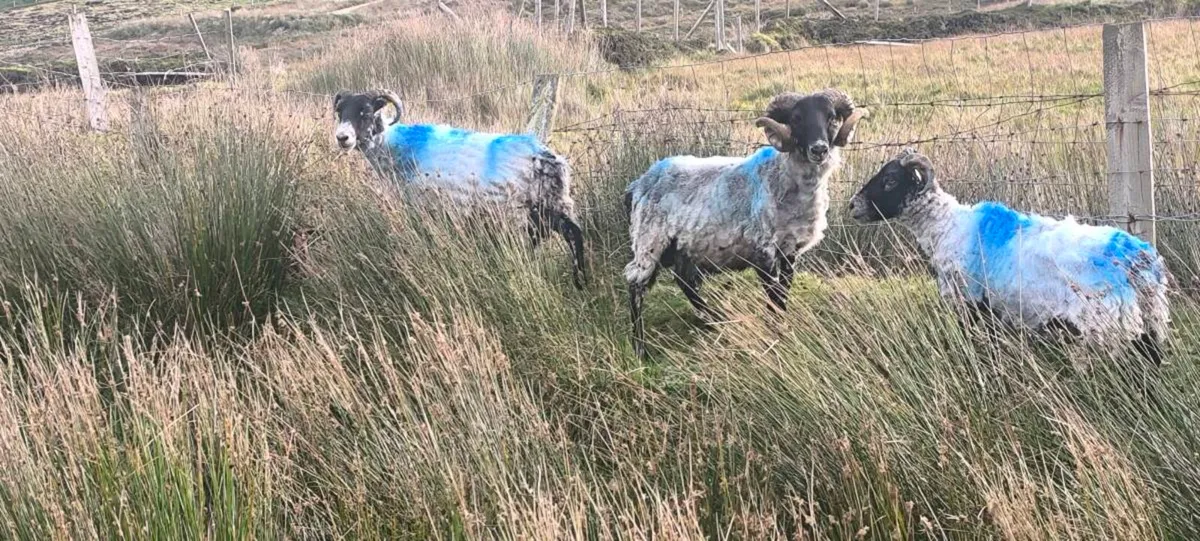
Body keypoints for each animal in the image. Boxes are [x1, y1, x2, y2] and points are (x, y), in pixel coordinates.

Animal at [332, 90, 586, 289]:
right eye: (340, 112)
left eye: (365, 111)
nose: (342, 138)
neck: (398, 148)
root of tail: (545, 158)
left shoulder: (426, 210)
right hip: (552, 204)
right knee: (574, 234)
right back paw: (580, 281)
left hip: (518, 214)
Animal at [624, 89, 869, 358]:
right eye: (796, 119)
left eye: (831, 117)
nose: (819, 149)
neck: (782, 178)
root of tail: (639, 183)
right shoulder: (764, 251)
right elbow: (774, 295)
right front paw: (776, 334)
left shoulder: (789, 251)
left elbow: (783, 292)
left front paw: (780, 329)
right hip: (649, 241)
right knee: (635, 285)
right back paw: (640, 349)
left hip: (683, 247)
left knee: (685, 281)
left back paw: (715, 320)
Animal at [848, 149, 1170, 365]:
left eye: (890, 180)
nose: (852, 206)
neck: (947, 226)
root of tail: (1136, 257)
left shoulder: (972, 306)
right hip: (1149, 323)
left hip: (1105, 328)